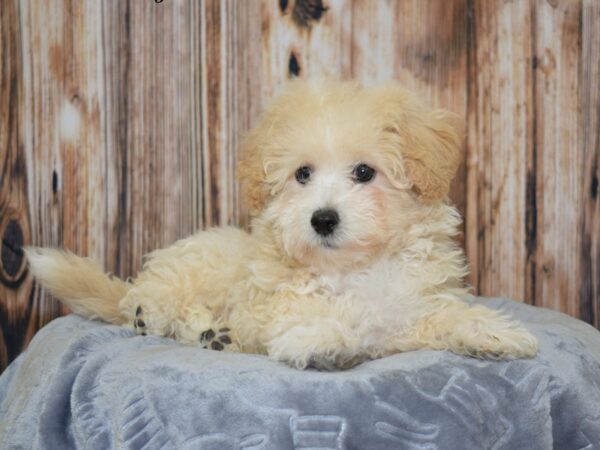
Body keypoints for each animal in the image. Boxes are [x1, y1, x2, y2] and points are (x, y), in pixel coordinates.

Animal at [24, 80, 540, 370]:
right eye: (303, 174)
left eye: (365, 172)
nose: (323, 218)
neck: (351, 269)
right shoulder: (273, 305)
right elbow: (312, 320)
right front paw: (323, 339)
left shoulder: (407, 315)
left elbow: (442, 316)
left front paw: (496, 334)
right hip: (196, 270)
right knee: (156, 294)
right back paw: (161, 316)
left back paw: (215, 336)